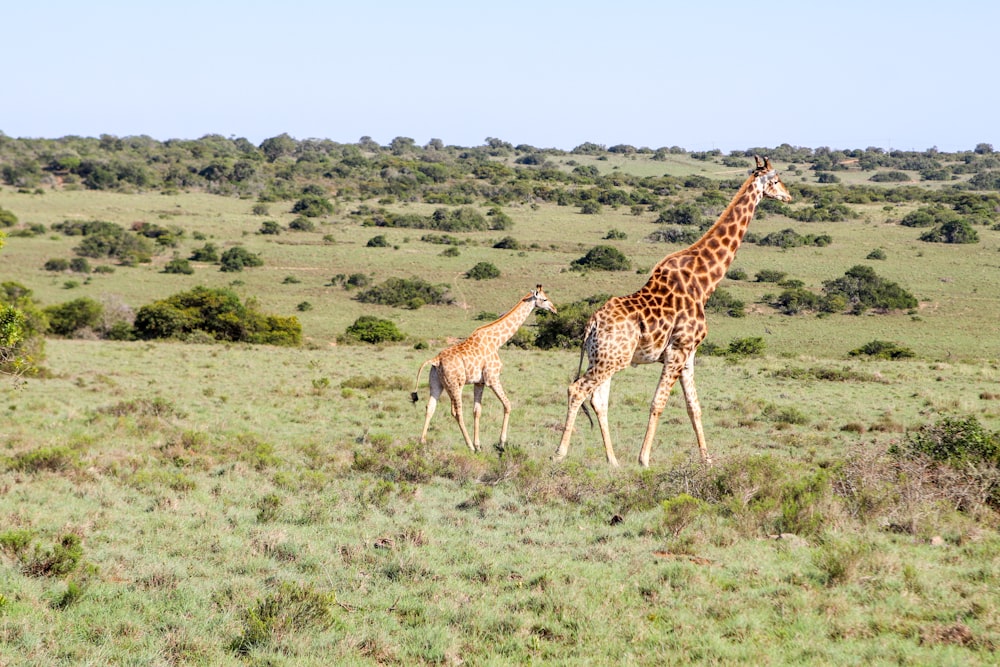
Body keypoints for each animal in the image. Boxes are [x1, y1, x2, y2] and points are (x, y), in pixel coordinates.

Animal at [410, 284, 560, 452]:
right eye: (544, 299)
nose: (554, 309)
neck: (497, 341)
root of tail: (436, 360)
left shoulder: (479, 382)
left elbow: (477, 411)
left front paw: (479, 445)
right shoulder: (492, 378)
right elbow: (507, 405)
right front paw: (501, 443)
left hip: (436, 383)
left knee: (430, 406)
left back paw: (422, 442)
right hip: (455, 384)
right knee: (456, 412)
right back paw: (469, 446)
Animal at [556, 157, 788, 470]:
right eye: (775, 180)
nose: (788, 196)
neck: (705, 283)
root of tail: (592, 324)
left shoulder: (688, 355)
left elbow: (694, 406)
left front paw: (707, 460)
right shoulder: (678, 350)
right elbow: (658, 403)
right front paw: (644, 459)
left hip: (605, 358)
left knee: (598, 400)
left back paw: (613, 461)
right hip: (610, 360)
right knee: (577, 390)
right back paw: (559, 454)